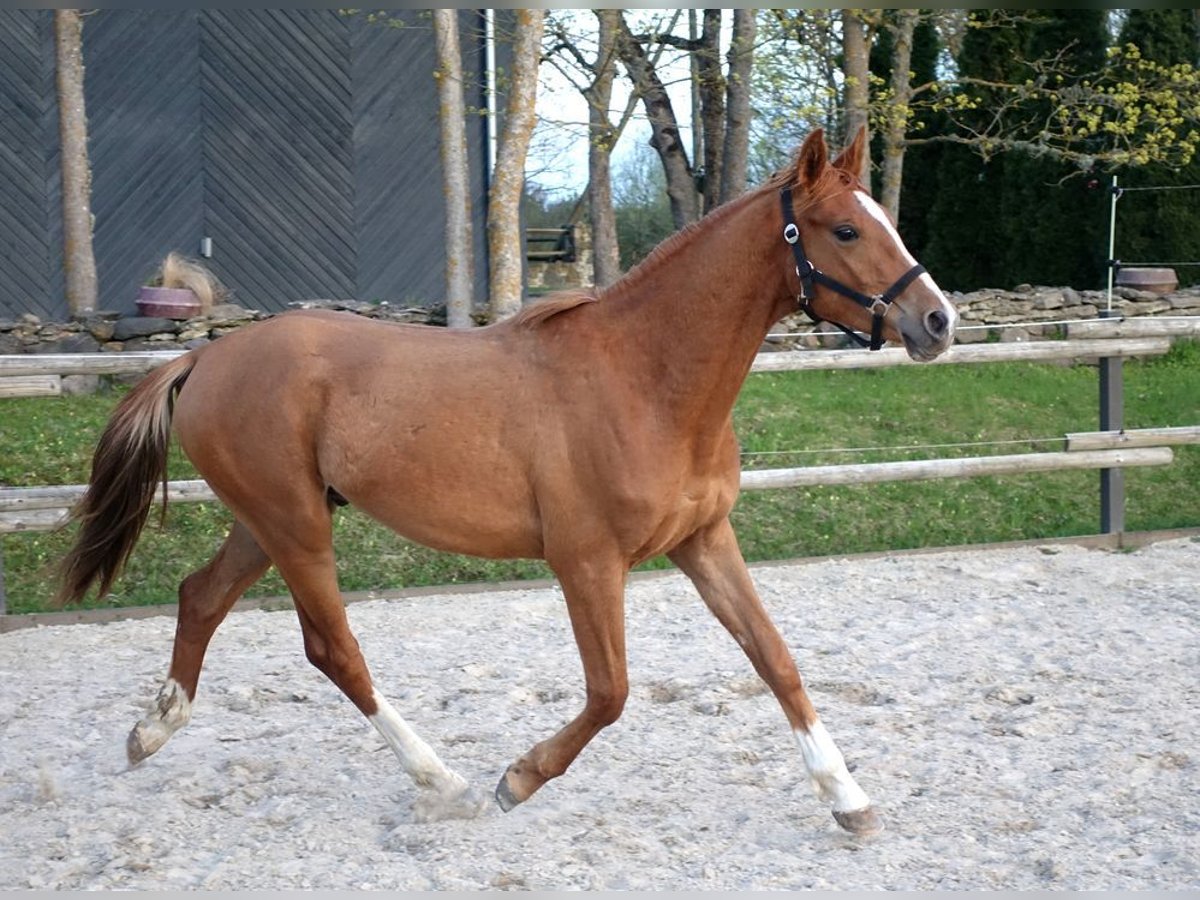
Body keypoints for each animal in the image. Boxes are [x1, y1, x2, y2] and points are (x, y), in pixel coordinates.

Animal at [54, 128, 955, 840]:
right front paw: (516, 780)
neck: (647, 381)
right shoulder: (586, 562)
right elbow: (611, 693)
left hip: (267, 520)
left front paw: (849, 800)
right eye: (845, 229)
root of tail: (203, 356)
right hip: (294, 524)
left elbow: (776, 660)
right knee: (333, 649)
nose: (938, 322)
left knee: (200, 596)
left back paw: (151, 732)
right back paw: (444, 784)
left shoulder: (704, 540)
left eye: (886, 222)